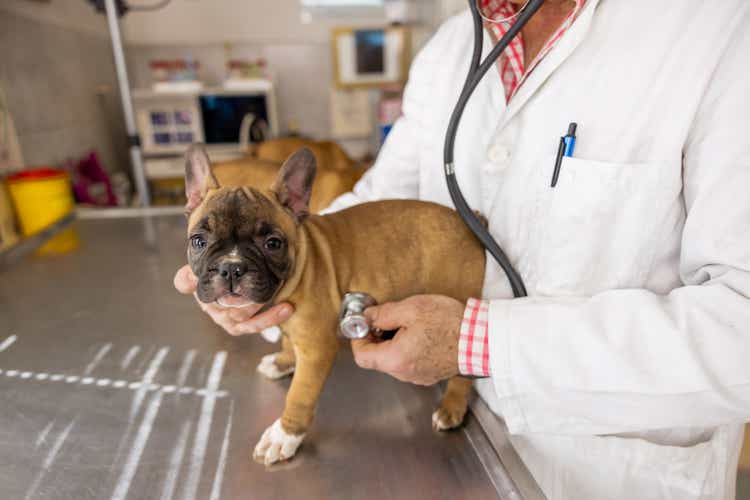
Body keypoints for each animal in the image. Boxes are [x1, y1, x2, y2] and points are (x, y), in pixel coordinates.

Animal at [185, 146, 484, 466]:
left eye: (273, 243)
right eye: (199, 241)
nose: (231, 267)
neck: (301, 262)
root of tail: (468, 224)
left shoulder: (318, 348)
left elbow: (299, 395)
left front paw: (284, 436)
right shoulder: (293, 329)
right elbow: (288, 342)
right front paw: (283, 362)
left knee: (462, 370)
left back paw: (451, 407)